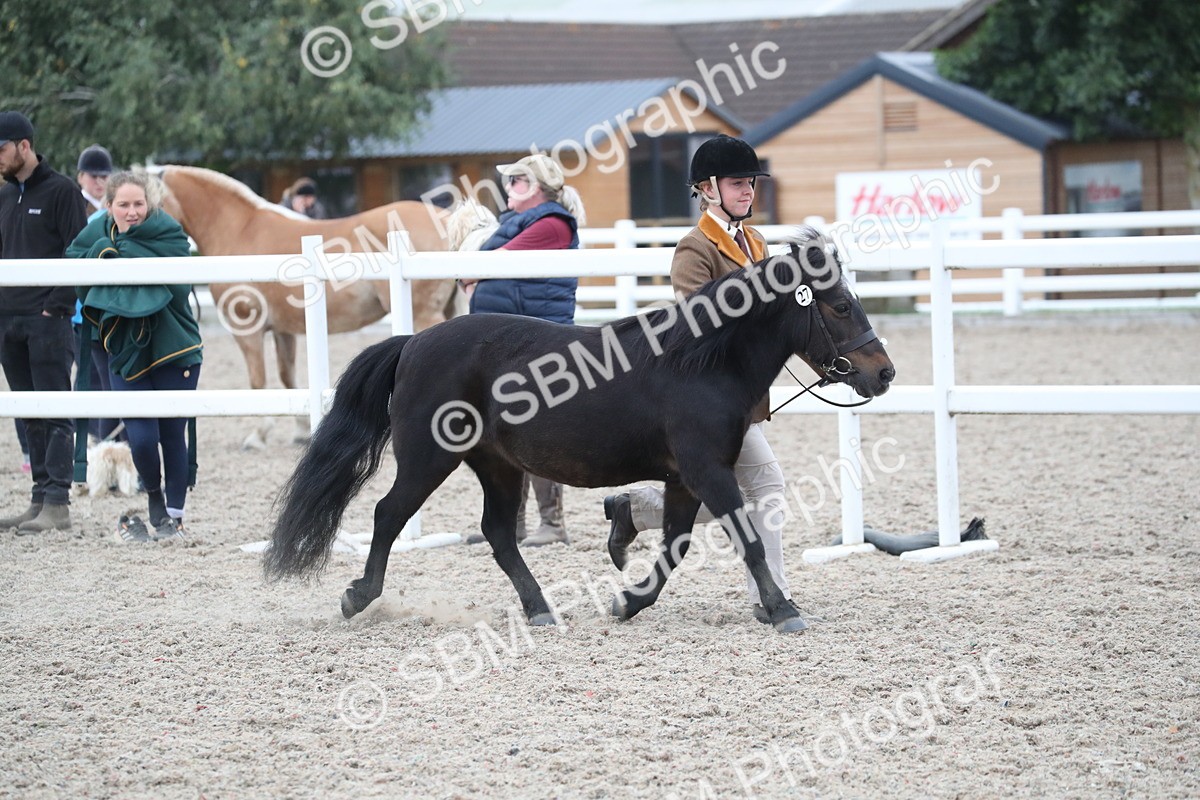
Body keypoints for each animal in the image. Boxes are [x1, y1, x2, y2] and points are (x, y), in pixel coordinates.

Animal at [158, 165, 460, 449]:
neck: (240, 230)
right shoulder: (283, 331)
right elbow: (287, 378)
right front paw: (301, 432)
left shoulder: (247, 328)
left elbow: (258, 381)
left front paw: (258, 435)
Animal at [264, 227, 895, 633]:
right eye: (840, 306)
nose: (884, 373)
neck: (700, 362)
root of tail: (414, 341)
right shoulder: (706, 471)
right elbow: (748, 538)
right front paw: (784, 611)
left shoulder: (686, 480)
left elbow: (676, 544)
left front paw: (629, 602)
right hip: (428, 459)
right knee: (388, 515)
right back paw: (359, 597)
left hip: (497, 466)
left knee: (498, 533)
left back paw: (539, 608)